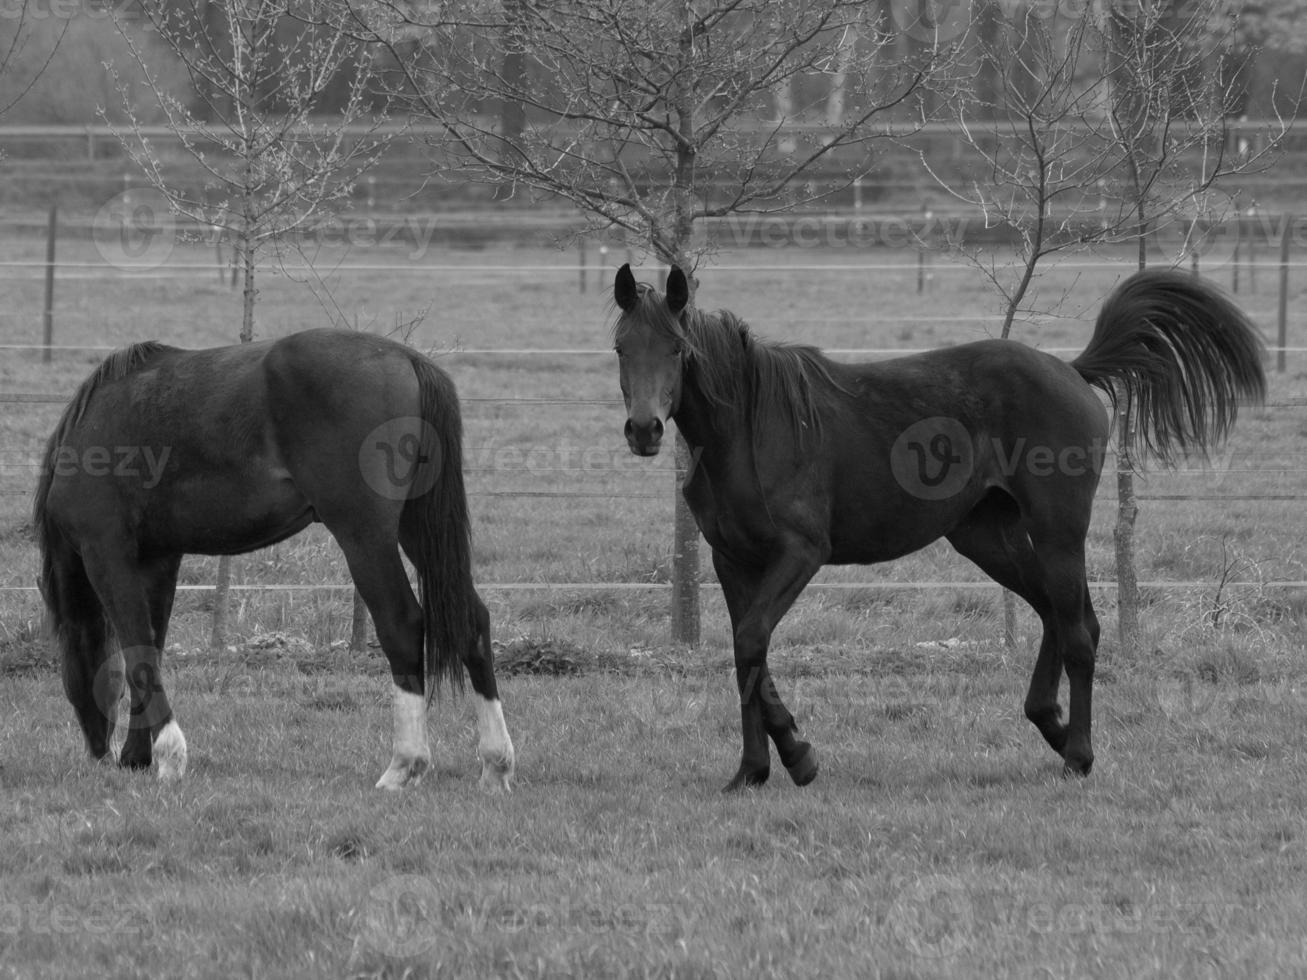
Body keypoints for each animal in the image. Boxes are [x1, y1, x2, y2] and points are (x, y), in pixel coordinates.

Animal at [30, 330, 509, 789]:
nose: (99, 752)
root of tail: (406, 359)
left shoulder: (108, 555)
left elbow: (138, 652)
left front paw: (167, 759)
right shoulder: (160, 561)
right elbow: (150, 651)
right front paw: (137, 756)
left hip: (364, 537)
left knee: (402, 624)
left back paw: (403, 766)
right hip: (417, 530)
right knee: (471, 621)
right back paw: (495, 763)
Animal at [611, 265, 1265, 794]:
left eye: (677, 348)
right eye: (620, 347)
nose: (643, 430)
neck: (751, 430)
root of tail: (1072, 371)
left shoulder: (800, 554)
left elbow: (750, 643)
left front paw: (799, 757)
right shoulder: (732, 561)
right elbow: (748, 655)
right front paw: (752, 772)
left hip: (1058, 531)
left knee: (1079, 630)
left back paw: (1077, 755)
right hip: (987, 537)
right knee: (1060, 615)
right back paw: (1050, 725)